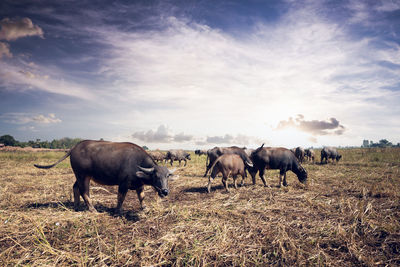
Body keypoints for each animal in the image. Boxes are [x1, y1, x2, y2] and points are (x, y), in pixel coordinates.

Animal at [32, 140, 173, 214]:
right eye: (156, 176)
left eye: (167, 176)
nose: (165, 191)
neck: (137, 163)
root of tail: (74, 147)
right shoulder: (123, 184)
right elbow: (121, 197)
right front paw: (118, 210)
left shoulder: (139, 185)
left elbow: (141, 197)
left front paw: (144, 208)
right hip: (84, 175)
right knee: (84, 191)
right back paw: (92, 209)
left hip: (79, 176)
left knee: (75, 188)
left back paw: (77, 206)